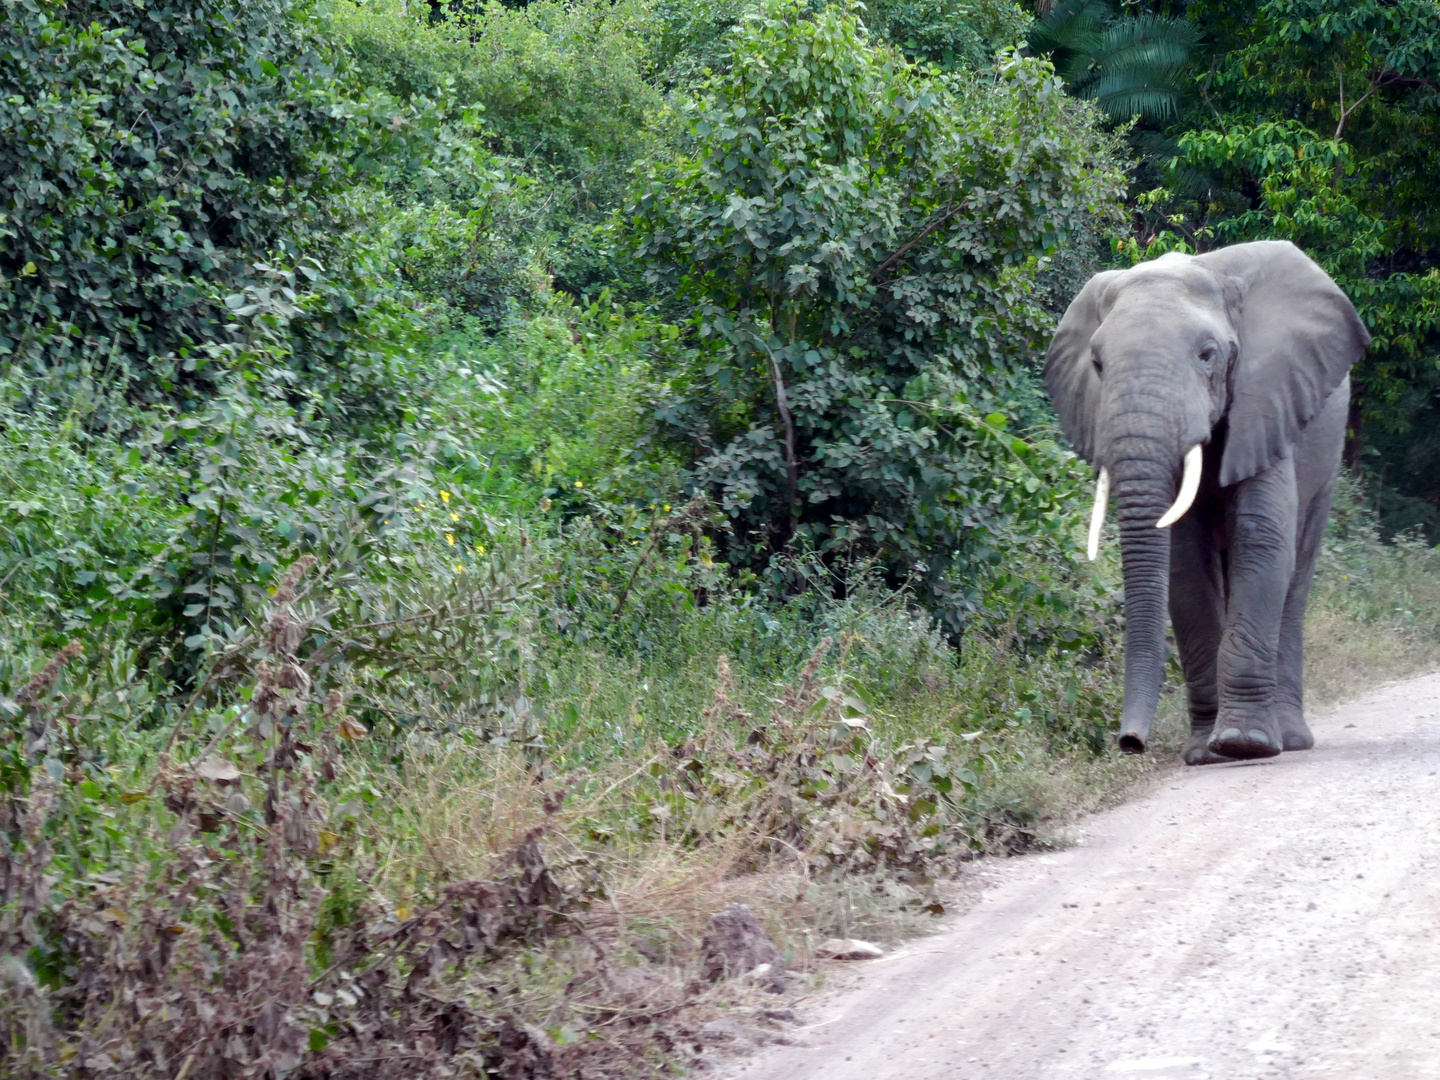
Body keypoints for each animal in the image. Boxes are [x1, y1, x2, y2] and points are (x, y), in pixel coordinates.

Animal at [1048, 240, 1370, 766]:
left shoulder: (1268, 401)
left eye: (1207, 356)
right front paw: (1206, 754)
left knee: (1297, 571)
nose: (1130, 743)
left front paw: (1244, 744)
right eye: (1096, 365)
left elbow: (1262, 541)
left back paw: (1289, 740)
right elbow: (1184, 562)